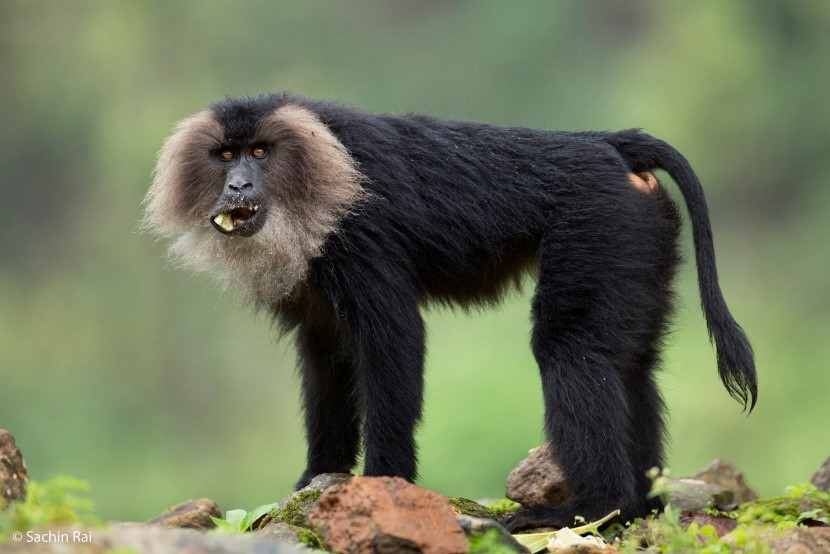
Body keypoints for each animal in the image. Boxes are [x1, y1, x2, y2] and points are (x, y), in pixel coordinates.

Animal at [143, 93, 756, 531]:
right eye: (226, 155)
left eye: (260, 153)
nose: (237, 185)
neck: (314, 176)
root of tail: (609, 144)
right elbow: (325, 361)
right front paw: (315, 479)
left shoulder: (360, 235)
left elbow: (393, 343)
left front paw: (383, 486)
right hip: (641, 231)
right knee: (631, 365)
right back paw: (641, 507)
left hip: (600, 223)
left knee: (573, 351)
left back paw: (592, 510)